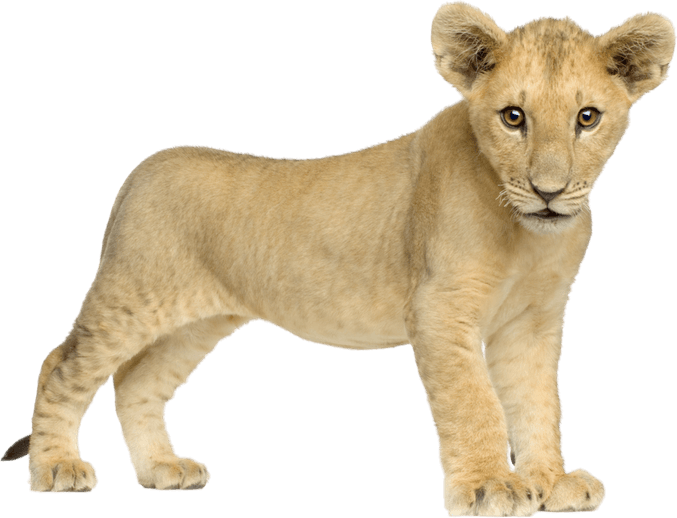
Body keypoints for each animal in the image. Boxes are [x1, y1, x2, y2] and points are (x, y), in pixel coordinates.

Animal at [2, 1, 674, 516]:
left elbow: (539, 402)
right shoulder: (440, 310)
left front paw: (551, 481)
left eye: (587, 117)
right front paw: (491, 486)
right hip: (133, 294)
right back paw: (56, 469)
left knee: (136, 381)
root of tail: (142, 167)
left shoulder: (533, 322)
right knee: (60, 365)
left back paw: (162, 468)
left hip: (198, 322)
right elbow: (474, 402)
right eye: (514, 117)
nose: (549, 191)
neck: (527, 235)